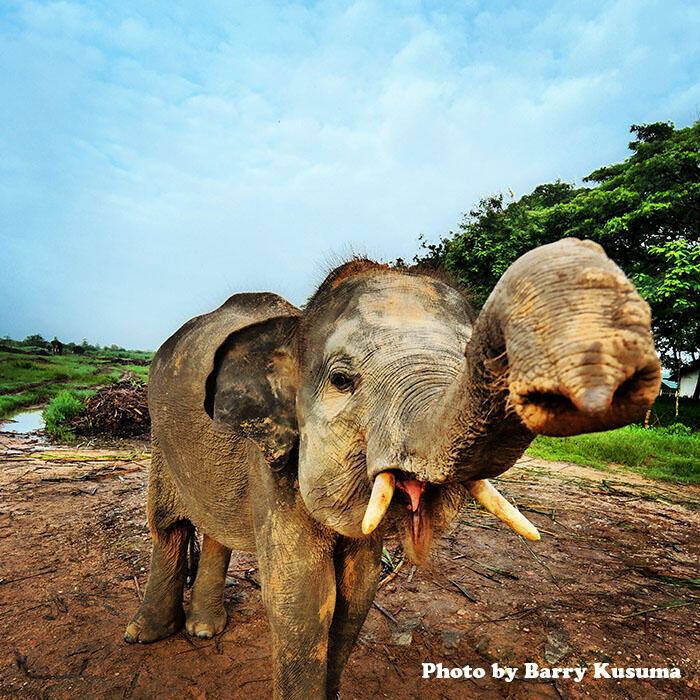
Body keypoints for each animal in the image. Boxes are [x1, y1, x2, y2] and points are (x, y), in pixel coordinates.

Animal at [124, 239, 660, 700]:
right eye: (342, 380)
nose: (582, 254)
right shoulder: (273, 459)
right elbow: (303, 598)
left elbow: (356, 592)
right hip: (158, 435)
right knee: (166, 527)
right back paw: (144, 635)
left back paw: (204, 629)